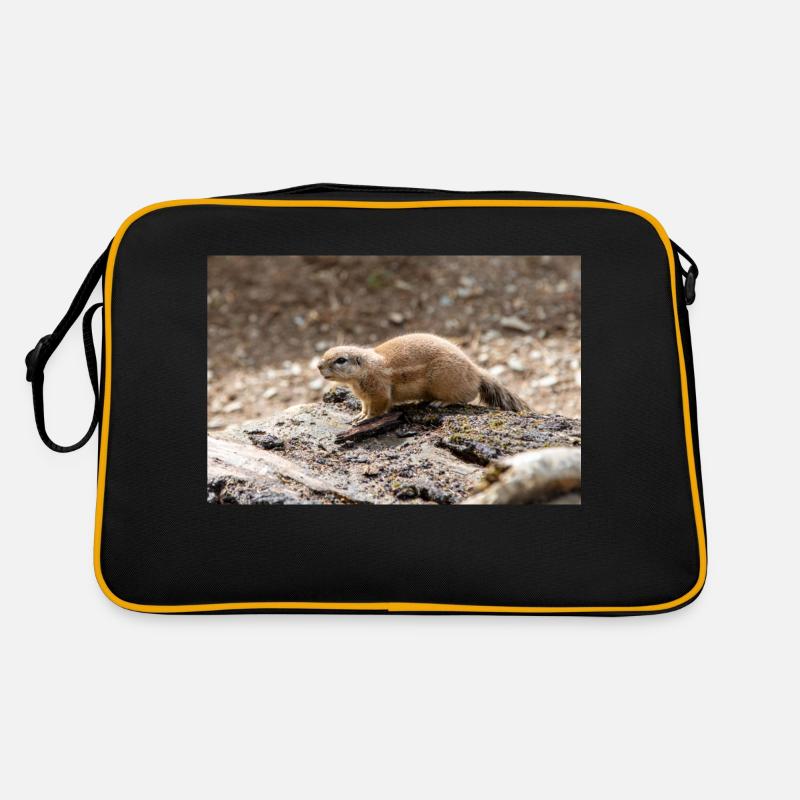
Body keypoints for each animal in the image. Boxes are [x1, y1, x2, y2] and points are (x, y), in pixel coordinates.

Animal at [318, 333, 529, 423]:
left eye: (341, 360)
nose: (318, 366)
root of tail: (475, 370)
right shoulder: (365, 397)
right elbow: (364, 406)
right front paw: (359, 415)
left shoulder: (379, 391)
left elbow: (378, 408)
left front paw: (365, 420)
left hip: (444, 381)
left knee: (467, 396)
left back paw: (440, 402)